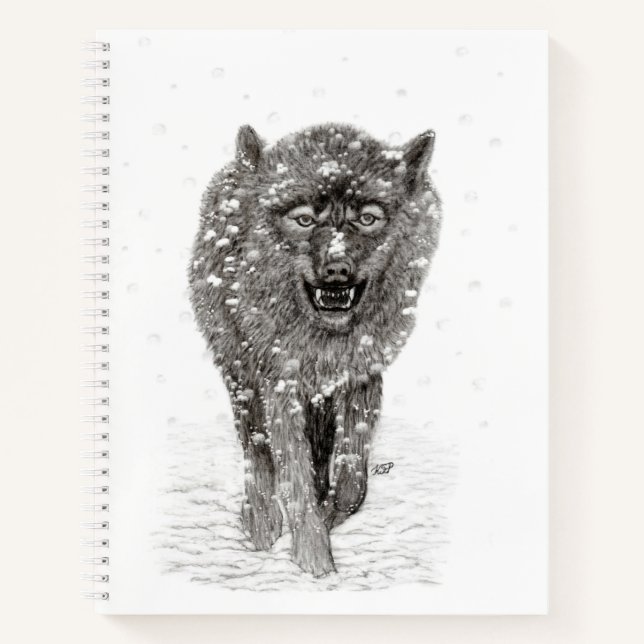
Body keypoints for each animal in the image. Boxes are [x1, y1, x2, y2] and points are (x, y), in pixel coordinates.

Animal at [189, 122, 441, 577]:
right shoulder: (279, 386)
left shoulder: (361, 377)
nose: (337, 270)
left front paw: (326, 519)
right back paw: (260, 522)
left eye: (367, 218)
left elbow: (352, 480)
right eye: (304, 219)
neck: (325, 342)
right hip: (241, 377)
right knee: (256, 452)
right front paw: (313, 559)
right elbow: (293, 475)